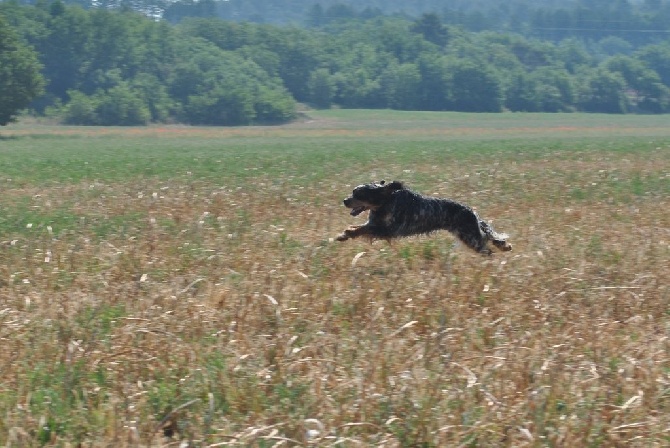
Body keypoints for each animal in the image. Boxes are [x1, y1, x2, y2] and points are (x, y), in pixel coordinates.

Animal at [336, 179, 516, 256]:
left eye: (358, 194)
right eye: (353, 192)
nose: (344, 200)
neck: (386, 201)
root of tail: (472, 212)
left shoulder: (387, 229)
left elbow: (360, 229)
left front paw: (346, 233)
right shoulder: (376, 225)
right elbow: (359, 227)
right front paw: (343, 235)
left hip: (470, 237)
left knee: (487, 247)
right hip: (469, 234)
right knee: (488, 239)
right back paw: (504, 247)